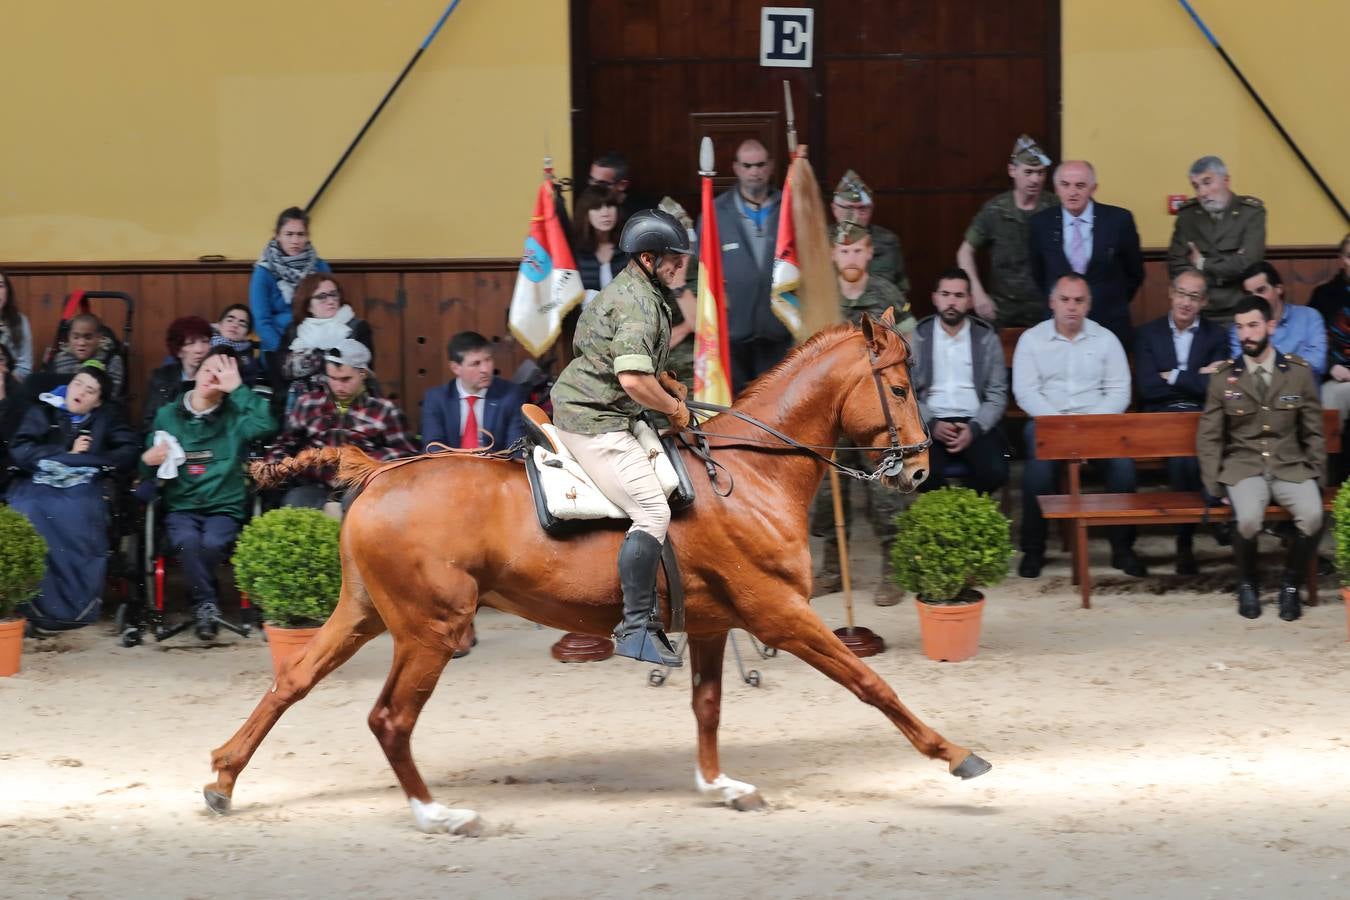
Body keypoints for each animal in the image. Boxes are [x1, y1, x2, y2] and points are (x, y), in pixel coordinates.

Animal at [207, 313, 993, 836]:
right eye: (899, 386)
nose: (919, 471)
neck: (749, 473)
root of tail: (377, 471)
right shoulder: (780, 613)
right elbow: (872, 685)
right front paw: (956, 755)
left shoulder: (714, 622)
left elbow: (708, 707)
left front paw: (720, 785)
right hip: (431, 629)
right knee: (389, 718)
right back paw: (439, 814)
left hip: (365, 613)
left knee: (291, 681)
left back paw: (223, 776)